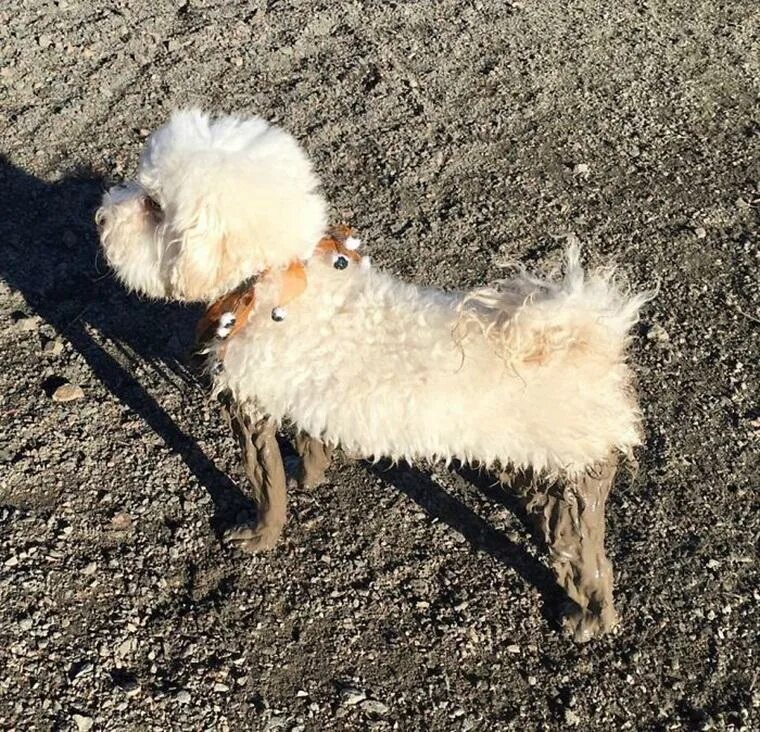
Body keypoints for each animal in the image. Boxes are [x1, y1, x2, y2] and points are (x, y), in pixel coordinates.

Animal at [98, 110, 652, 640]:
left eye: (153, 206)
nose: (101, 213)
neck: (274, 285)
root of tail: (591, 340)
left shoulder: (251, 410)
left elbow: (266, 487)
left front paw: (259, 535)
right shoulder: (308, 399)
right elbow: (310, 449)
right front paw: (308, 477)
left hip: (574, 488)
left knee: (589, 564)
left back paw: (587, 621)